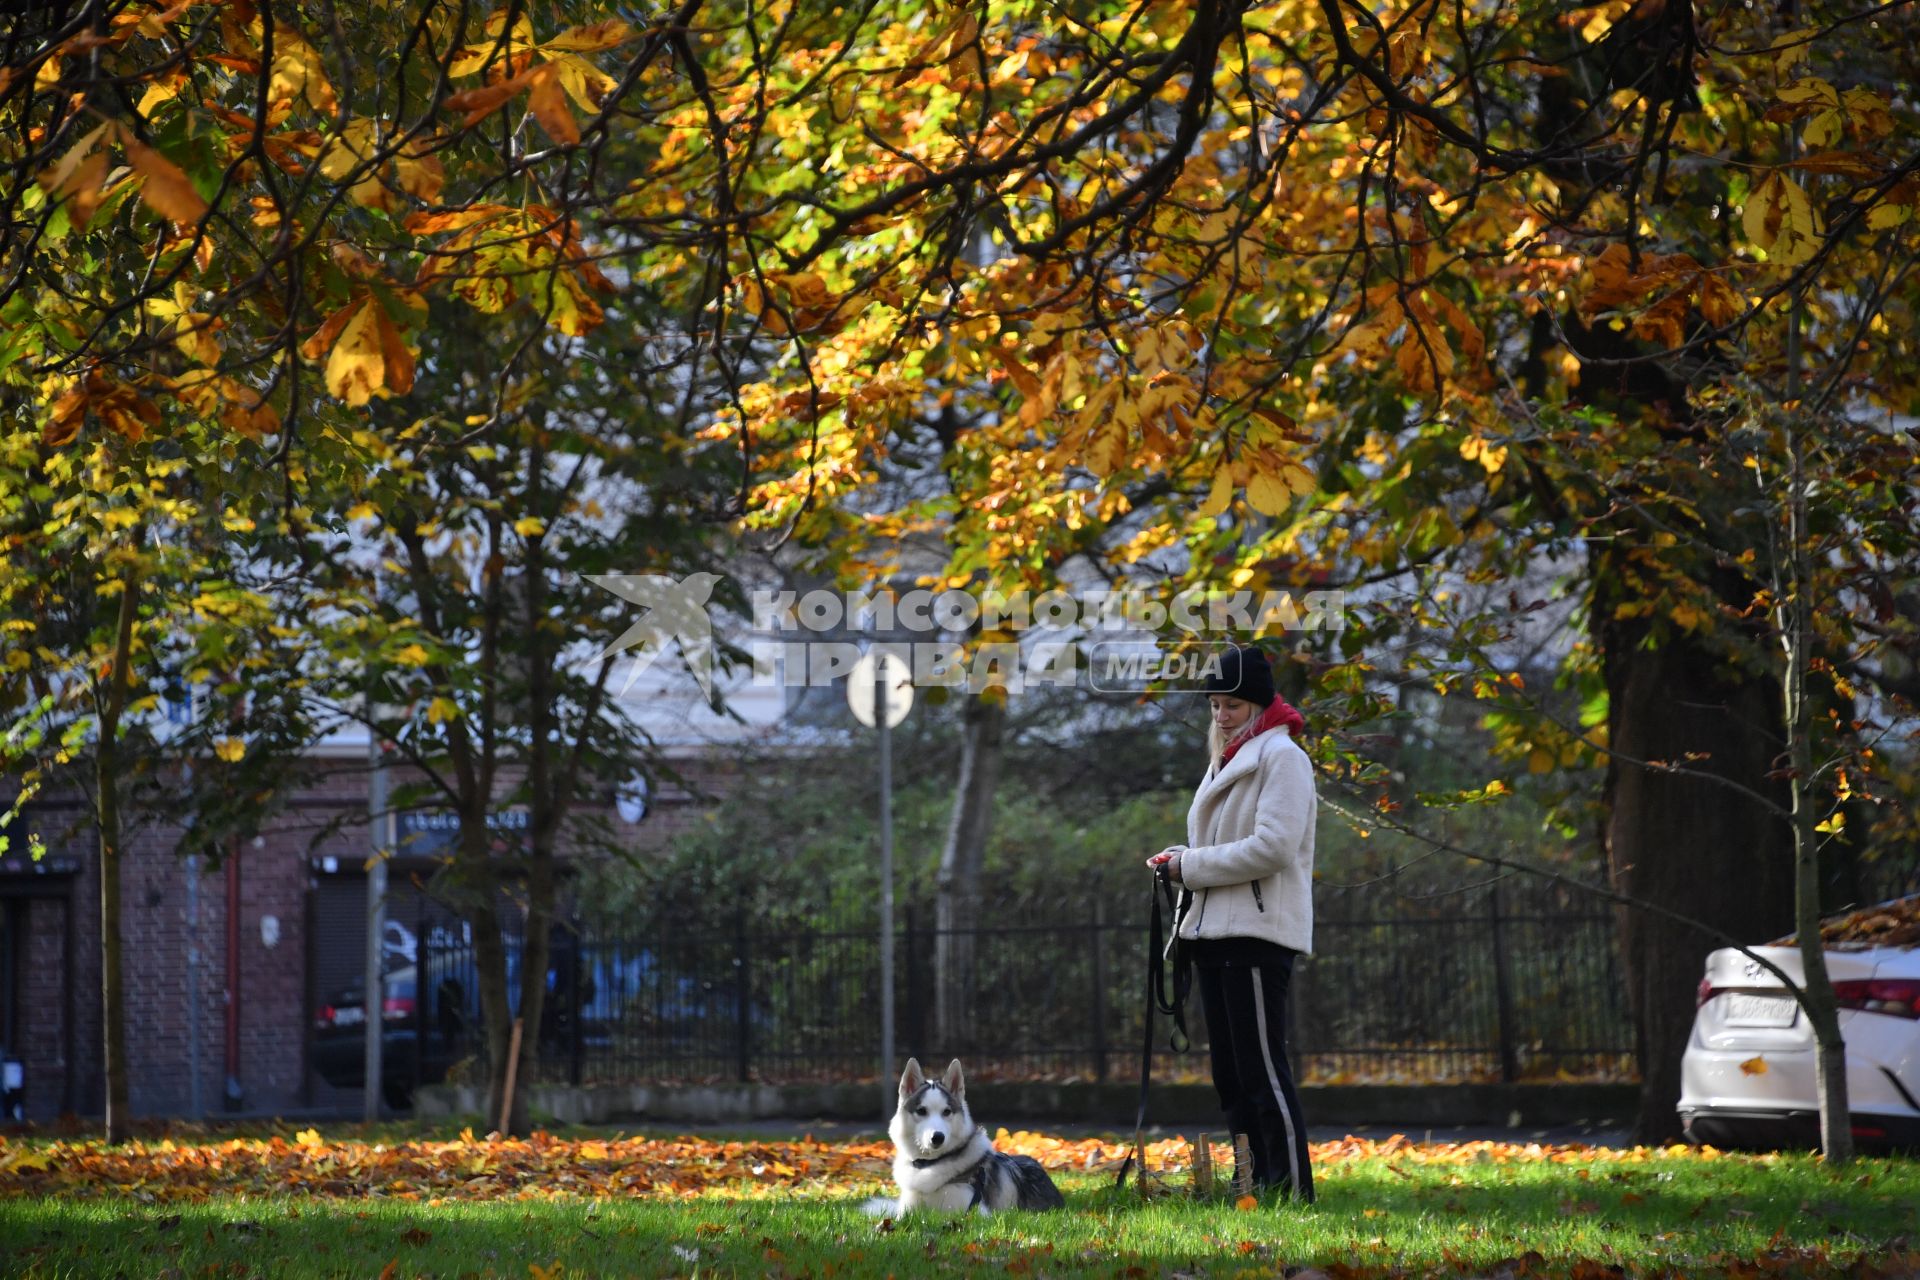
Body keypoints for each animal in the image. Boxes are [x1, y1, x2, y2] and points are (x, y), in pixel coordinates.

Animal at [867, 1059, 1075, 1220]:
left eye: (947, 1112)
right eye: (921, 1111)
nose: (937, 1137)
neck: (929, 1164)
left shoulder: (973, 1213)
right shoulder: (906, 1211)